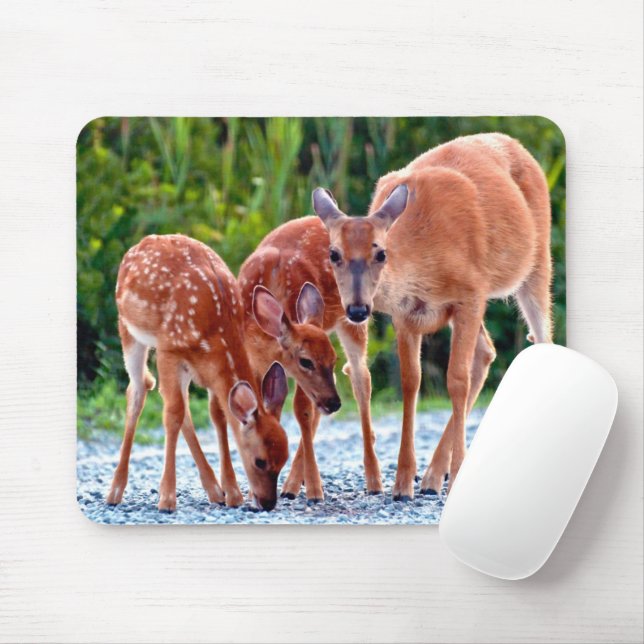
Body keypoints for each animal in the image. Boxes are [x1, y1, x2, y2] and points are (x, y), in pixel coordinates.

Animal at [106, 234, 290, 512]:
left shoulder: (210, 369)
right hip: (128, 329)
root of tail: (140, 244)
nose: (268, 503)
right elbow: (172, 415)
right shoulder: (169, 349)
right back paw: (115, 491)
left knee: (180, 405)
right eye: (260, 461)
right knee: (139, 390)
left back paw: (214, 490)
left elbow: (218, 415)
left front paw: (232, 492)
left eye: (285, 459)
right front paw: (167, 498)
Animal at [238, 218, 384, 500]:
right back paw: (293, 484)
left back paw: (373, 480)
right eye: (306, 361)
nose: (335, 403)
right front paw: (253, 492)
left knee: (361, 378)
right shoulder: (255, 360)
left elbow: (302, 411)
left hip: (354, 317)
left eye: (332, 357)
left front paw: (315, 489)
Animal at [312, 132, 553, 501]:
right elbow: (411, 382)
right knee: (487, 351)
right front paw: (402, 483)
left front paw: (453, 479)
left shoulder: (470, 293)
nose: (357, 309)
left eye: (380, 253)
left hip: (537, 262)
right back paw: (430, 478)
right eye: (333, 254)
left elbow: (456, 379)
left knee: (540, 337)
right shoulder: (405, 315)